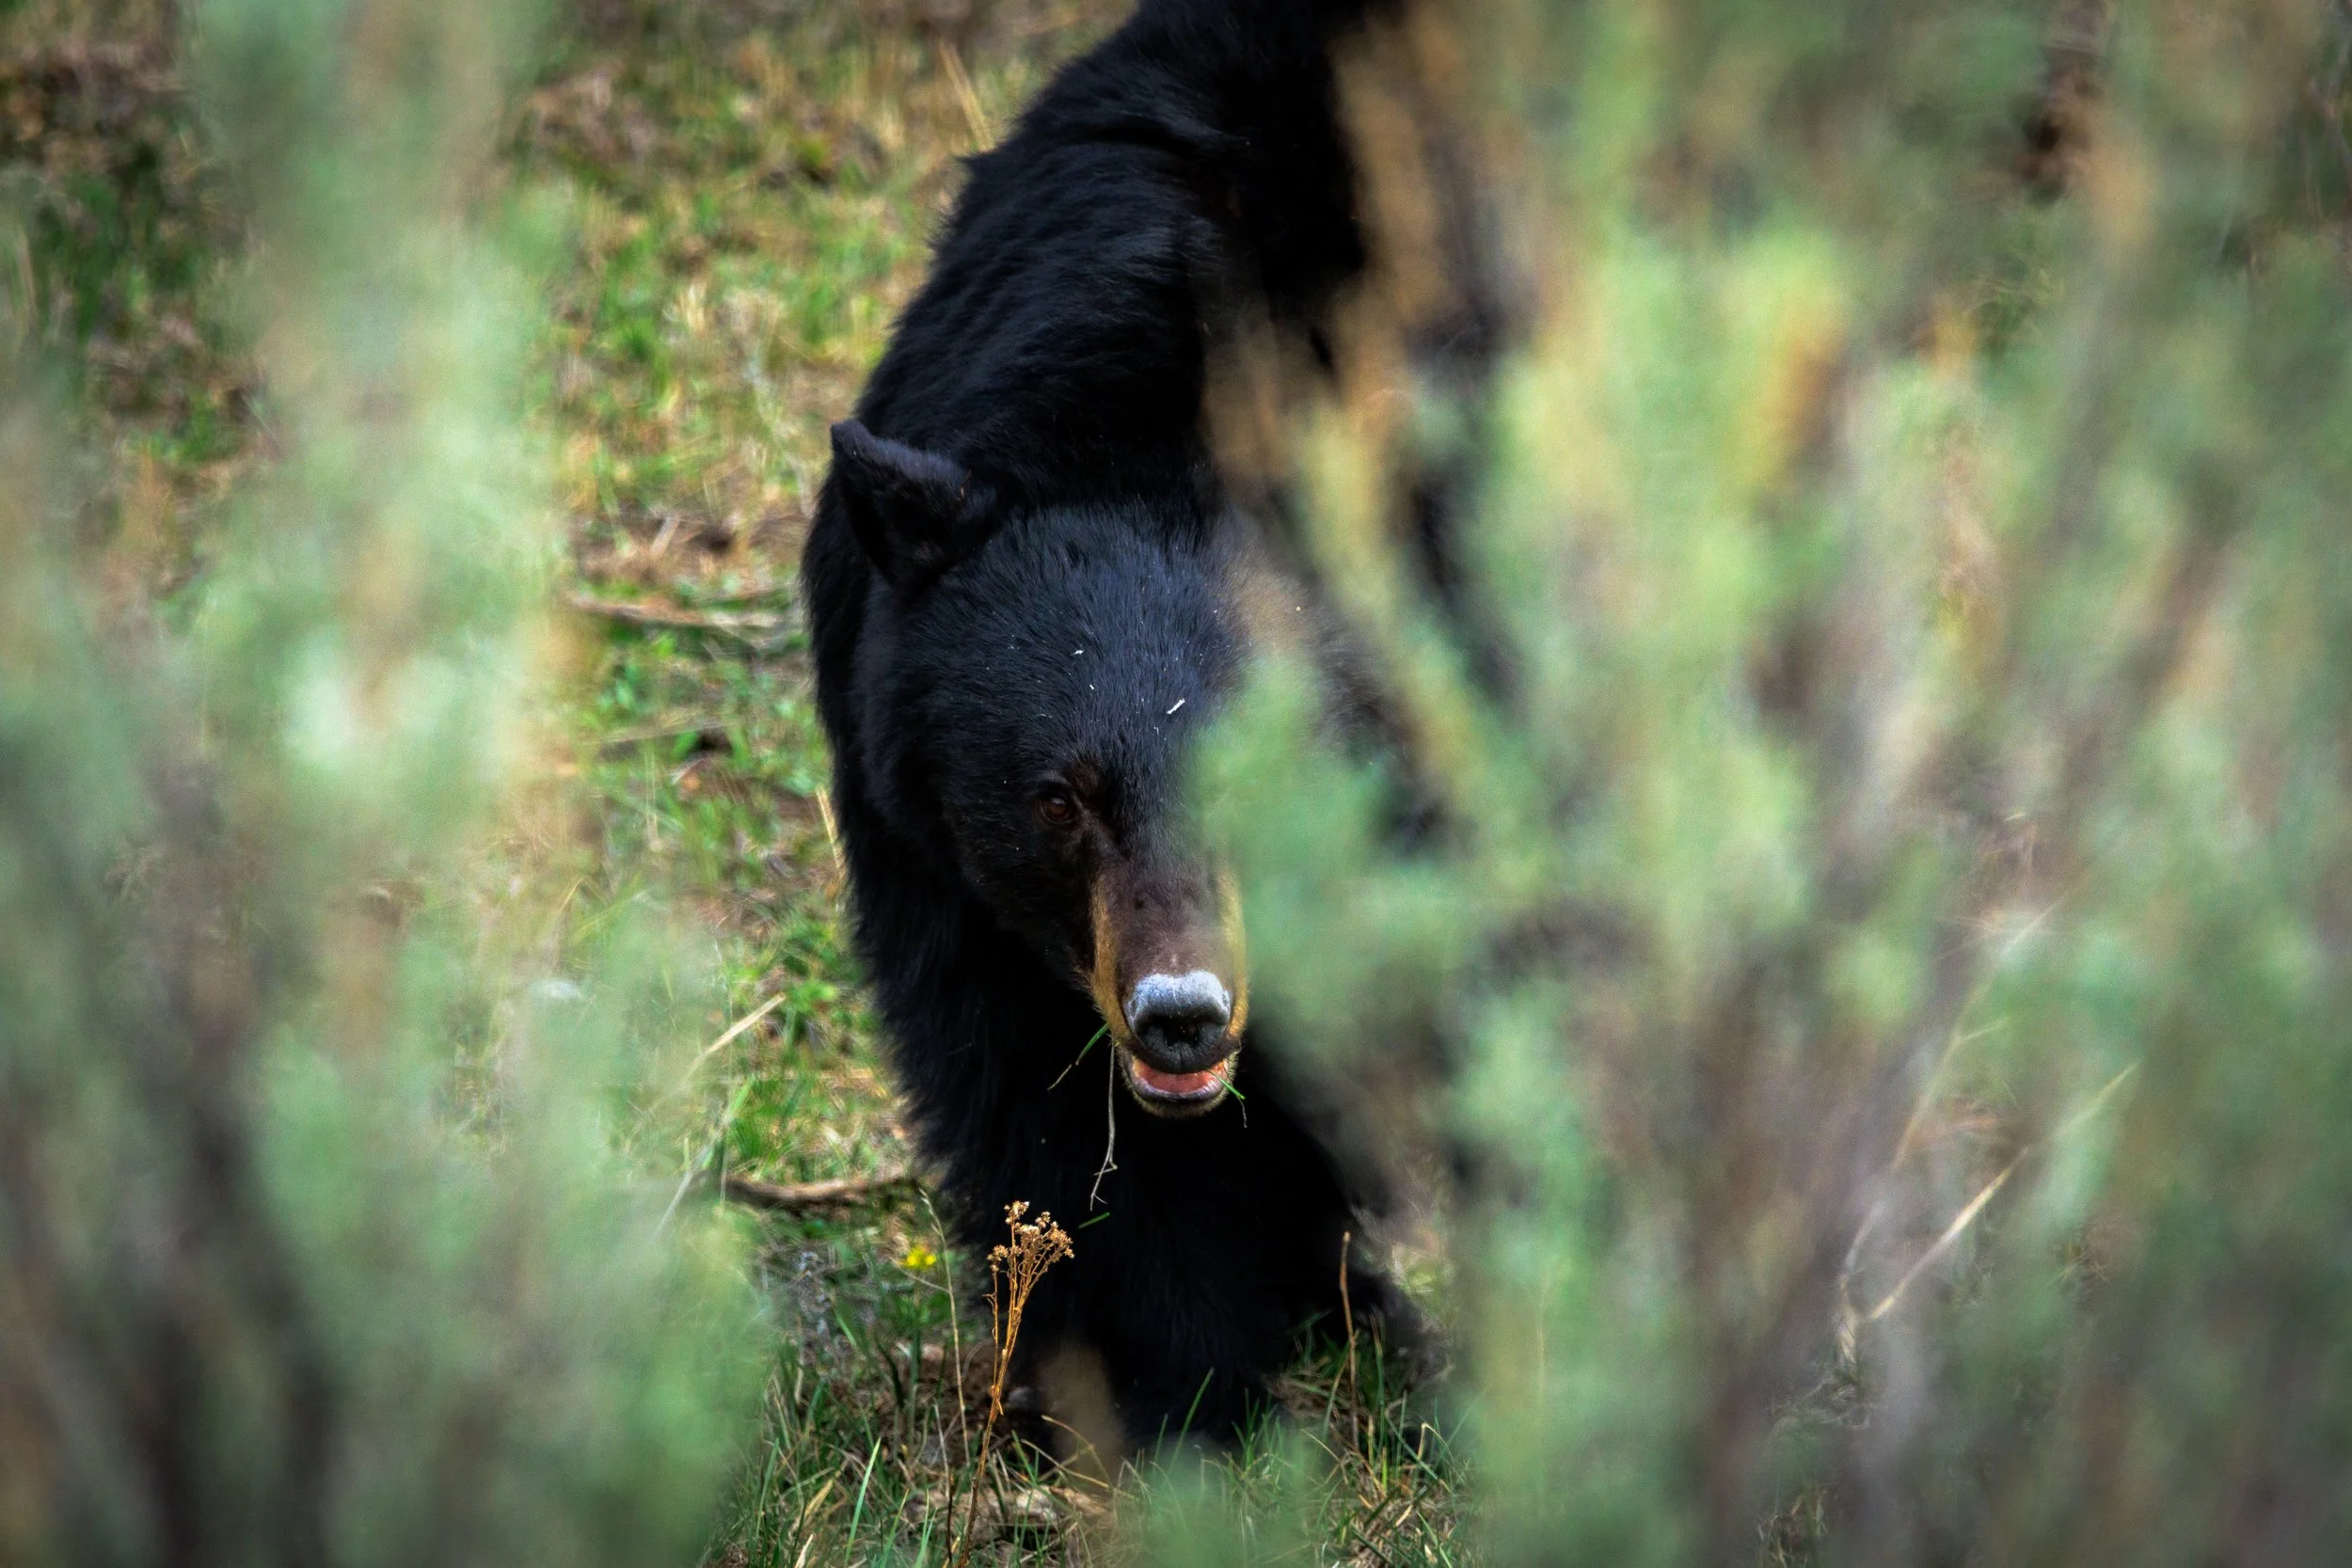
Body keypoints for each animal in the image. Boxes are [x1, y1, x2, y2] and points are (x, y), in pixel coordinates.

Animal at [802, 0, 1460, 1447]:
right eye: (1061, 796)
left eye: (1276, 781)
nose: (1181, 1016)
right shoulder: (929, 843)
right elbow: (1045, 1110)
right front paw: (1178, 1397)